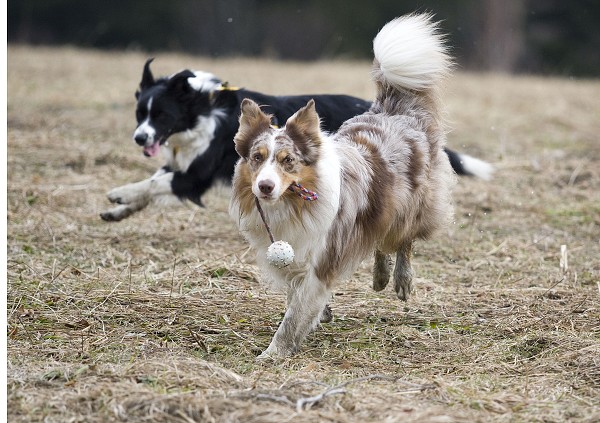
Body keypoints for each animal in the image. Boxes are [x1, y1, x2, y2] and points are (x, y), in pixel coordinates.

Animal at [99, 60, 492, 224]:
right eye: (140, 113)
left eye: (162, 115)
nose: (139, 137)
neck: (202, 110)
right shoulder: (181, 163)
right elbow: (152, 184)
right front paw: (119, 211)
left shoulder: (196, 175)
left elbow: (155, 185)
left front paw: (119, 194)